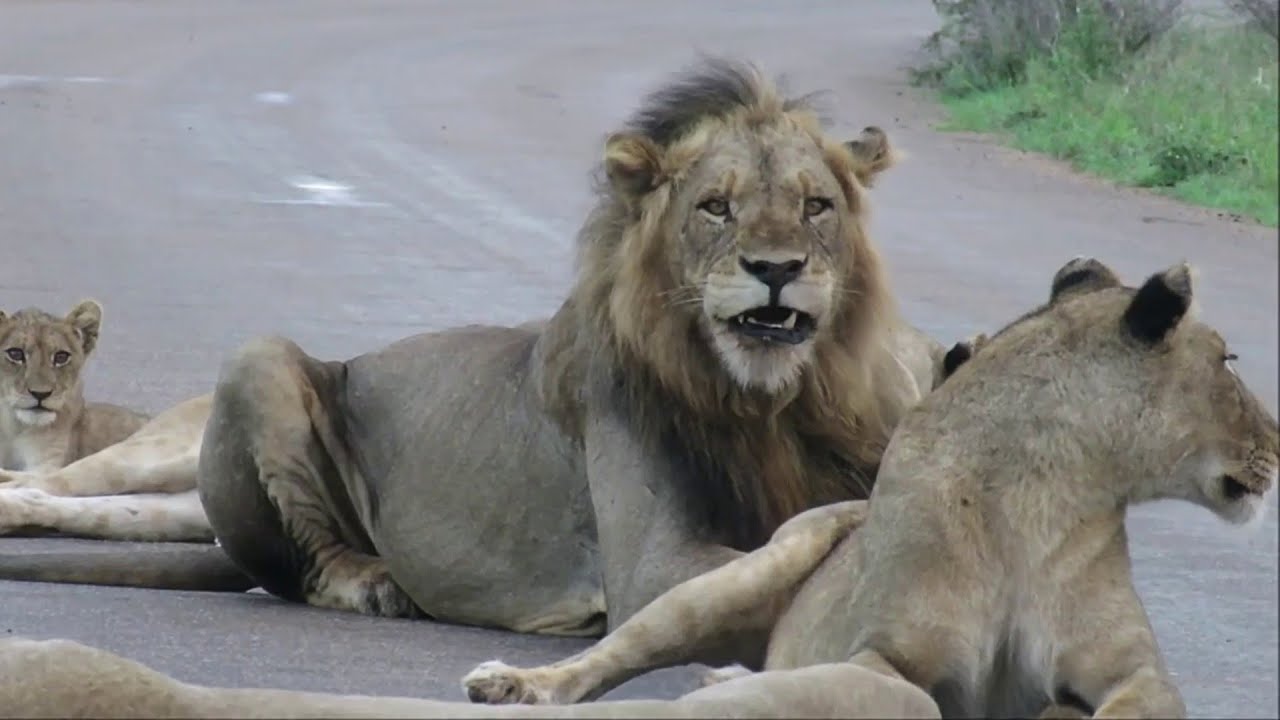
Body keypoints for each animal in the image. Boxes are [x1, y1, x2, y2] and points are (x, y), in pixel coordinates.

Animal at [0, 58, 945, 641]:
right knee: (301, 564)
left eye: (817, 205)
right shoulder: (655, 566)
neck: (769, 403)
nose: (776, 269)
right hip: (258, 359)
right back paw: (377, 582)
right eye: (716, 206)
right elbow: (780, 564)